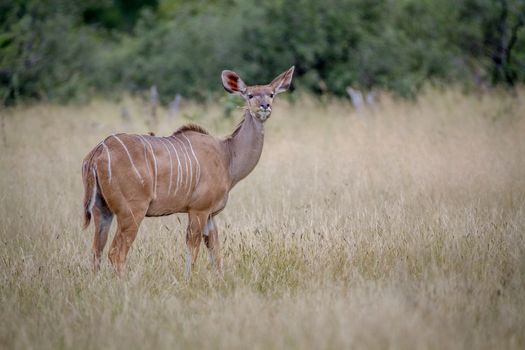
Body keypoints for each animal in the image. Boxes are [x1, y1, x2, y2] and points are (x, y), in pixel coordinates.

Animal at [82, 67, 294, 276]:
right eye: (249, 95)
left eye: (271, 94)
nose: (265, 106)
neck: (227, 156)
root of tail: (97, 152)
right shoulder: (199, 210)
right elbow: (193, 251)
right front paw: (189, 281)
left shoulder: (210, 215)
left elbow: (215, 253)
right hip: (132, 211)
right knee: (115, 253)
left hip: (102, 209)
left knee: (96, 252)